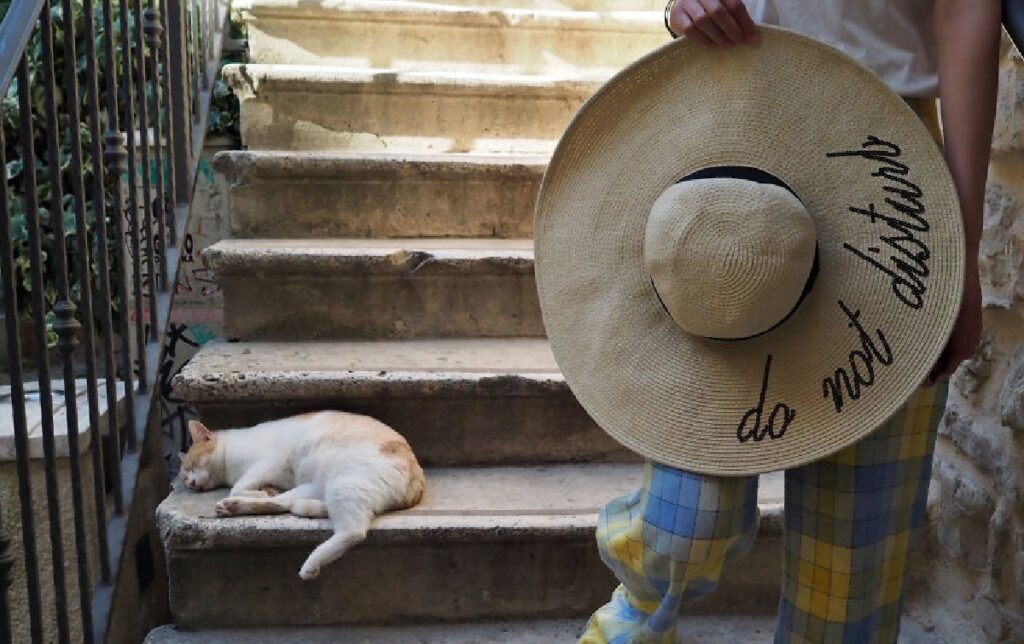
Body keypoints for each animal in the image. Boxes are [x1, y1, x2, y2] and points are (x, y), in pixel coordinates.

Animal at [180, 409, 423, 581]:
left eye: (191, 466)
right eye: (184, 476)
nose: (190, 483)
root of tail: (418, 477)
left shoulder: (268, 462)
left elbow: (240, 484)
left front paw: (260, 489)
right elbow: (258, 491)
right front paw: (266, 490)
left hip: (344, 484)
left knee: (353, 531)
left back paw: (311, 564)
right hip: (313, 486)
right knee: (282, 503)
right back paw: (233, 506)